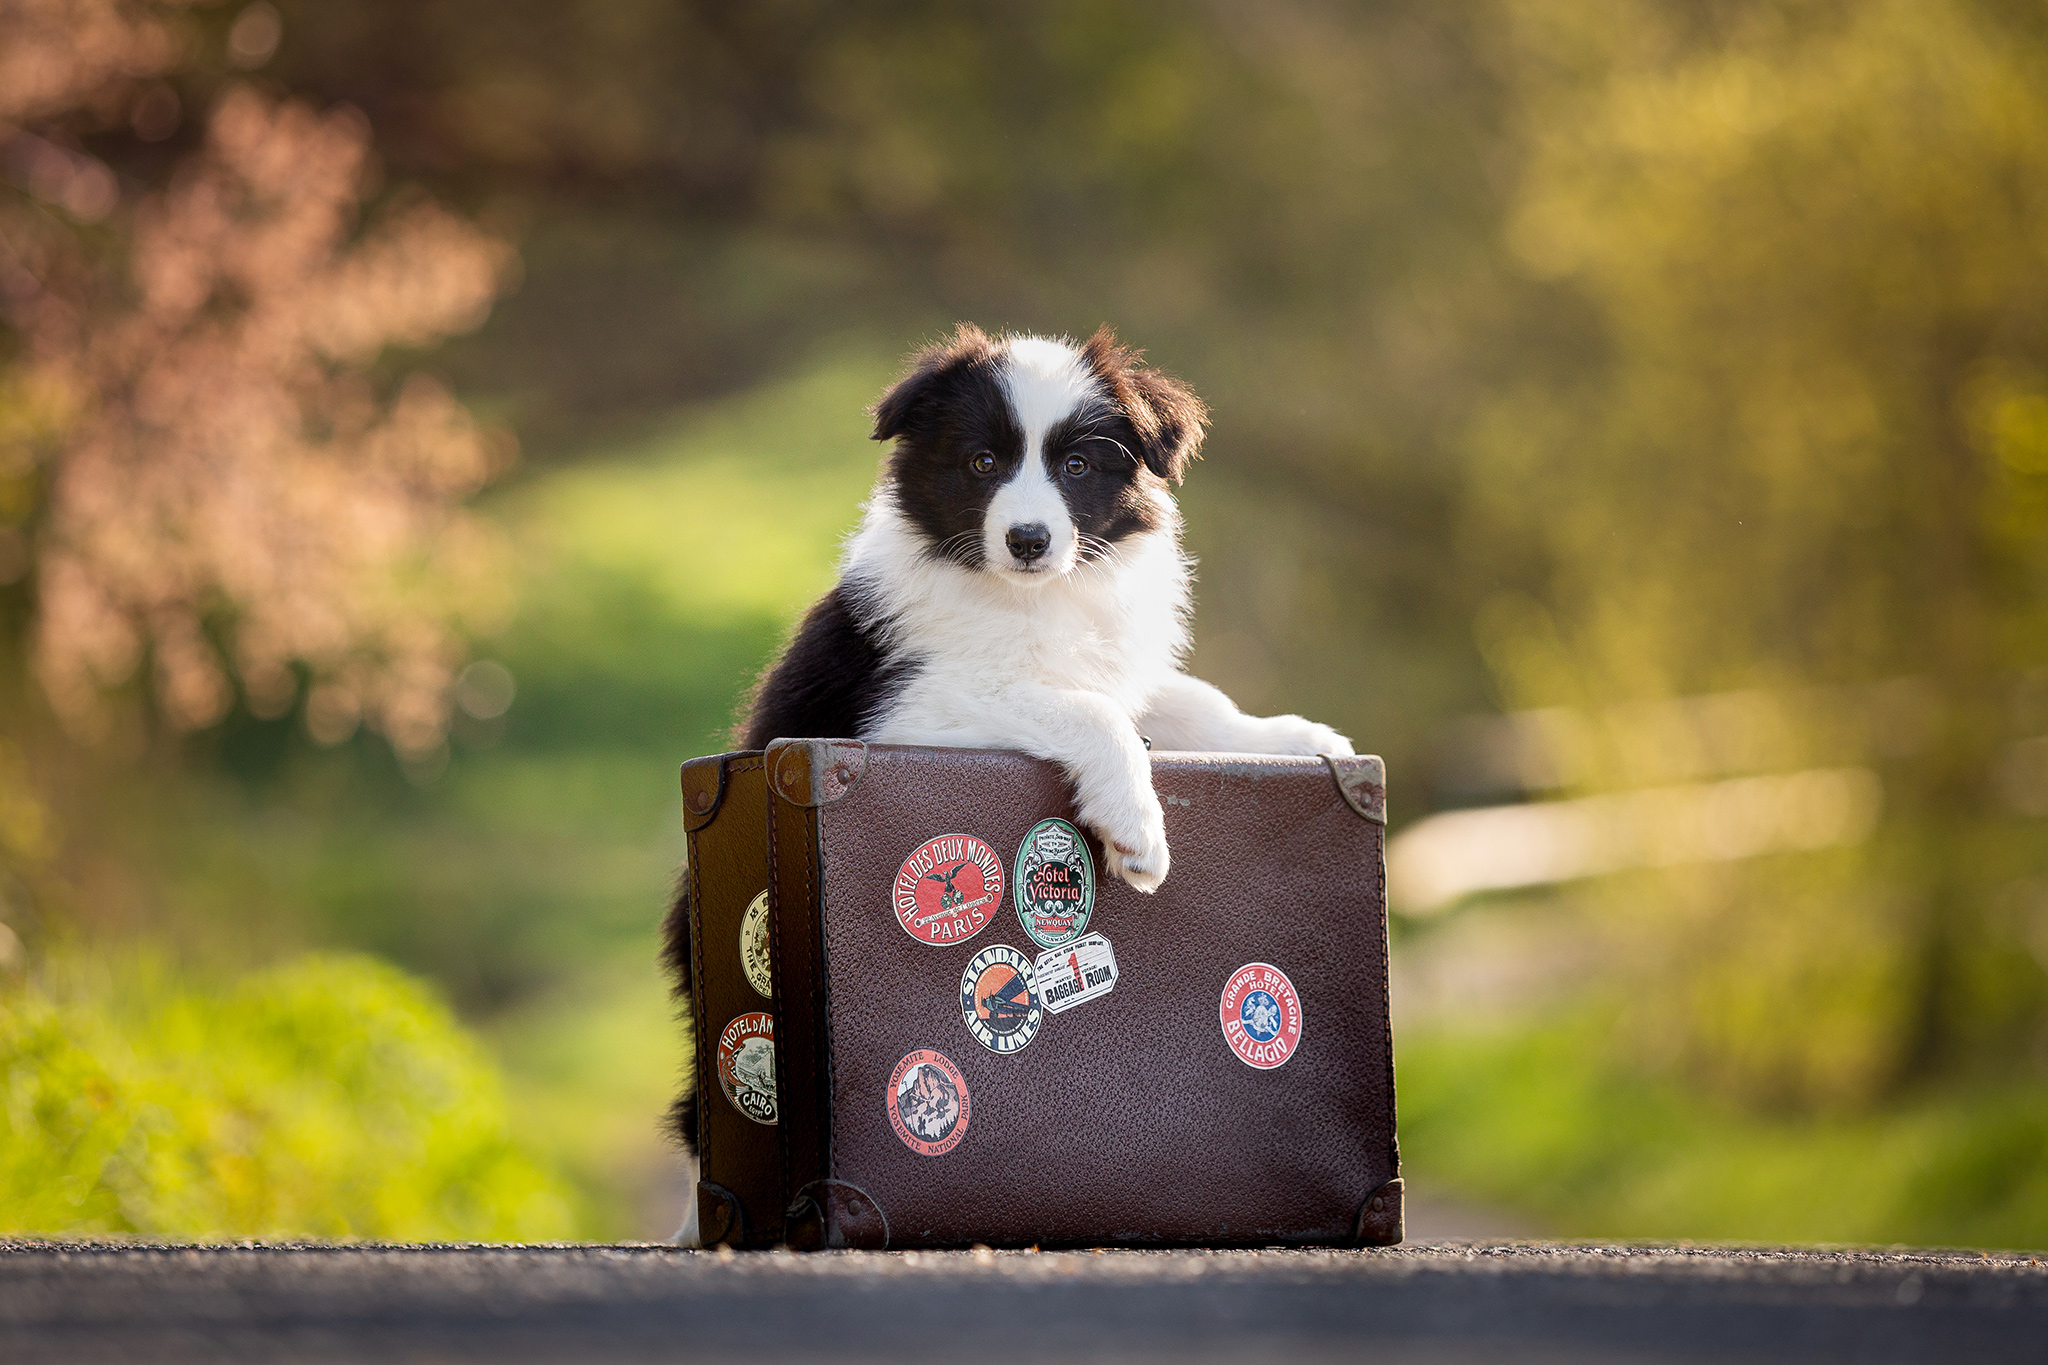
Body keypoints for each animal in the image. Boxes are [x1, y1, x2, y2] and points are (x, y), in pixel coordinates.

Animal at [745, 325, 1351, 892]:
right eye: (983, 462)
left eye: (1077, 466)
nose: (1028, 540)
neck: (1036, 595)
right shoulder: (900, 712)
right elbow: (1096, 712)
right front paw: (1136, 832)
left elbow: (1199, 701)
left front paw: (1300, 739)